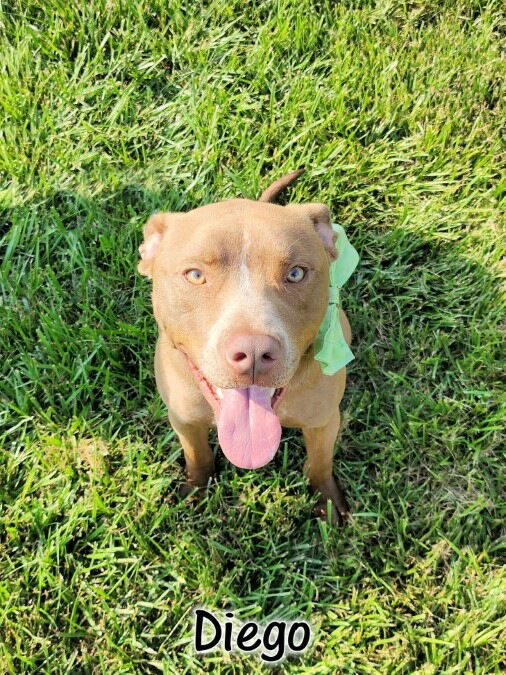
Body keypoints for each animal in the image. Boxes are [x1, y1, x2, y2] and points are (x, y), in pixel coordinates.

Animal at [137, 172, 352, 524]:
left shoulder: (323, 422)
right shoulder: (183, 419)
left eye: (296, 273)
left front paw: (328, 504)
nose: (254, 354)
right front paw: (195, 490)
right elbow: (197, 456)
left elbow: (321, 465)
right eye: (195, 275)